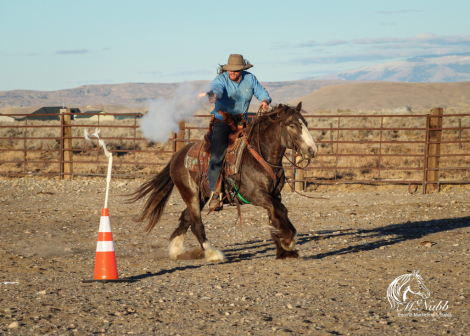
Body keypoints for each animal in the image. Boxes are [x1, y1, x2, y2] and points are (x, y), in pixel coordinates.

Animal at [126, 102, 318, 260]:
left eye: (306, 124)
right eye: (292, 125)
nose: (312, 149)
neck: (258, 155)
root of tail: (177, 156)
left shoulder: (274, 195)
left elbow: (277, 214)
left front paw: (284, 249)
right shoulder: (257, 195)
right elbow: (280, 210)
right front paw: (289, 239)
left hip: (202, 196)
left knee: (186, 217)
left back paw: (176, 250)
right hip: (190, 193)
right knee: (196, 223)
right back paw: (212, 253)